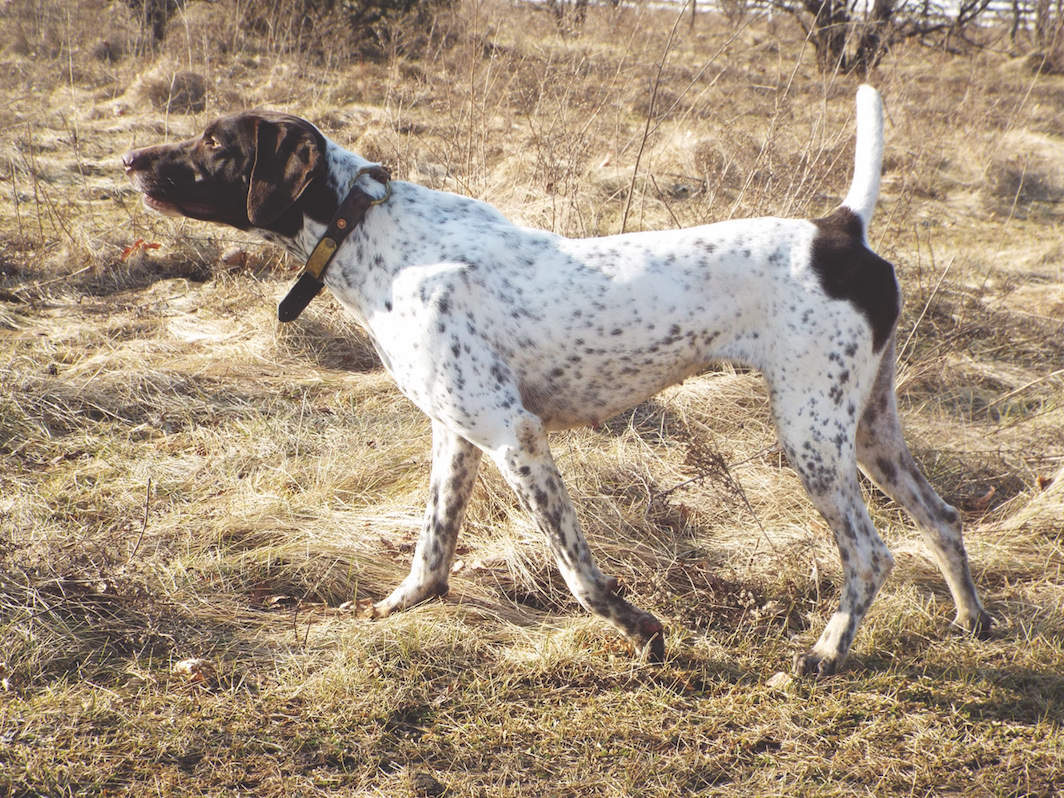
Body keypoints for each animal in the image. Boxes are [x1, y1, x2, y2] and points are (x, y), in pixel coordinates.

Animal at [122, 86, 987, 676]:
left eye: (214, 141)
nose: (130, 160)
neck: (368, 232)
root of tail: (841, 229)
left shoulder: (514, 435)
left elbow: (578, 574)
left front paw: (644, 631)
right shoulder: (456, 435)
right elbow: (432, 549)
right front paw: (404, 604)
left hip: (811, 432)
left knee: (871, 554)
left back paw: (827, 653)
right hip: (869, 427)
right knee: (942, 519)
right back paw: (973, 620)